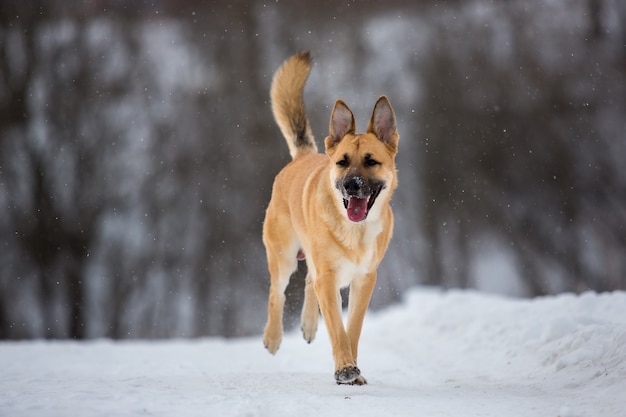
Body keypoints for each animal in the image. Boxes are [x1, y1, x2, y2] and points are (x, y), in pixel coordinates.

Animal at [260, 51, 398, 384]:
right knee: (277, 291)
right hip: (283, 256)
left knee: (308, 280)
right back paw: (273, 337)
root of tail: (302, 156)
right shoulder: (329, 276)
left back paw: (309, 326)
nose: (351, 185)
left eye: (371, 162)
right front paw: (346, 368)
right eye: (342, 162)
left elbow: (352, 328)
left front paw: (353, 370)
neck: (354, 232)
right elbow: (337, 328)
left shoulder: (364, 279)